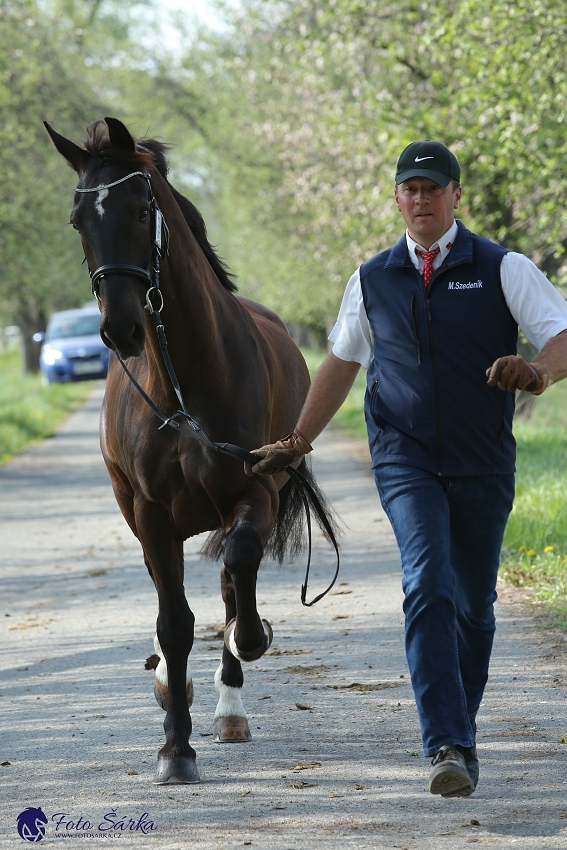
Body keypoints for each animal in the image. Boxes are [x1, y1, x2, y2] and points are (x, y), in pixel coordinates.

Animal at [46, 117, 336, 780]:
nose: (120, 330)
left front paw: (250, 640)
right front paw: (175, 749)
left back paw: (231, 703)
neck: (185, 387)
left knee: (231, 581)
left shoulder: (254, 490)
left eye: (137, 207)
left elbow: (237, 578)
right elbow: (174, 622)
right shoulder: (150, 513)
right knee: (168, 592)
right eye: (77, 218)